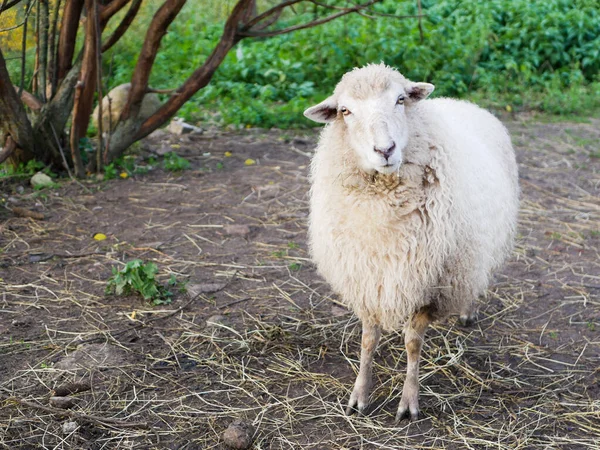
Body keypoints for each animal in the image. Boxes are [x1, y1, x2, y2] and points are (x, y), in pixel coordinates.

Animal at [304, 63, 520, 422]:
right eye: (345, 111)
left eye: (400, 99)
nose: (385, 150)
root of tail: (462, 102)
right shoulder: (367, 277)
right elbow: (368, 340)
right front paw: (359, 395)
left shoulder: (432, 283)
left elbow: (412, 343)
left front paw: (408, 401)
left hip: (473, 251)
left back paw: (467, 312)